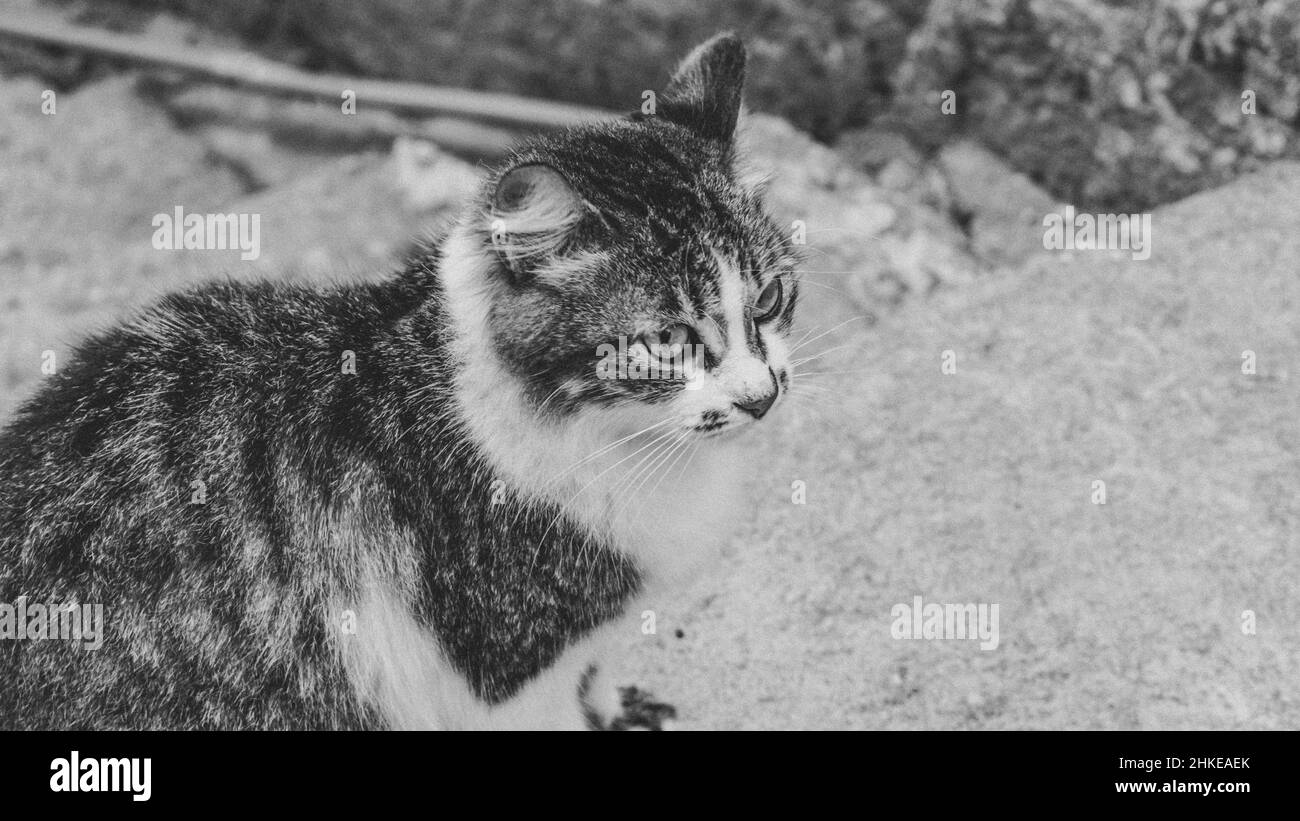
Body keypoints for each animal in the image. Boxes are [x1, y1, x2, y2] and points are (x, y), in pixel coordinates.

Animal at [0, 32, 795, 727]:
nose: (761, 397)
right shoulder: (509, 674)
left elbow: (597, 680)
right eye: (668, 342)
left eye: (770, 299)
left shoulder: (591, 642)